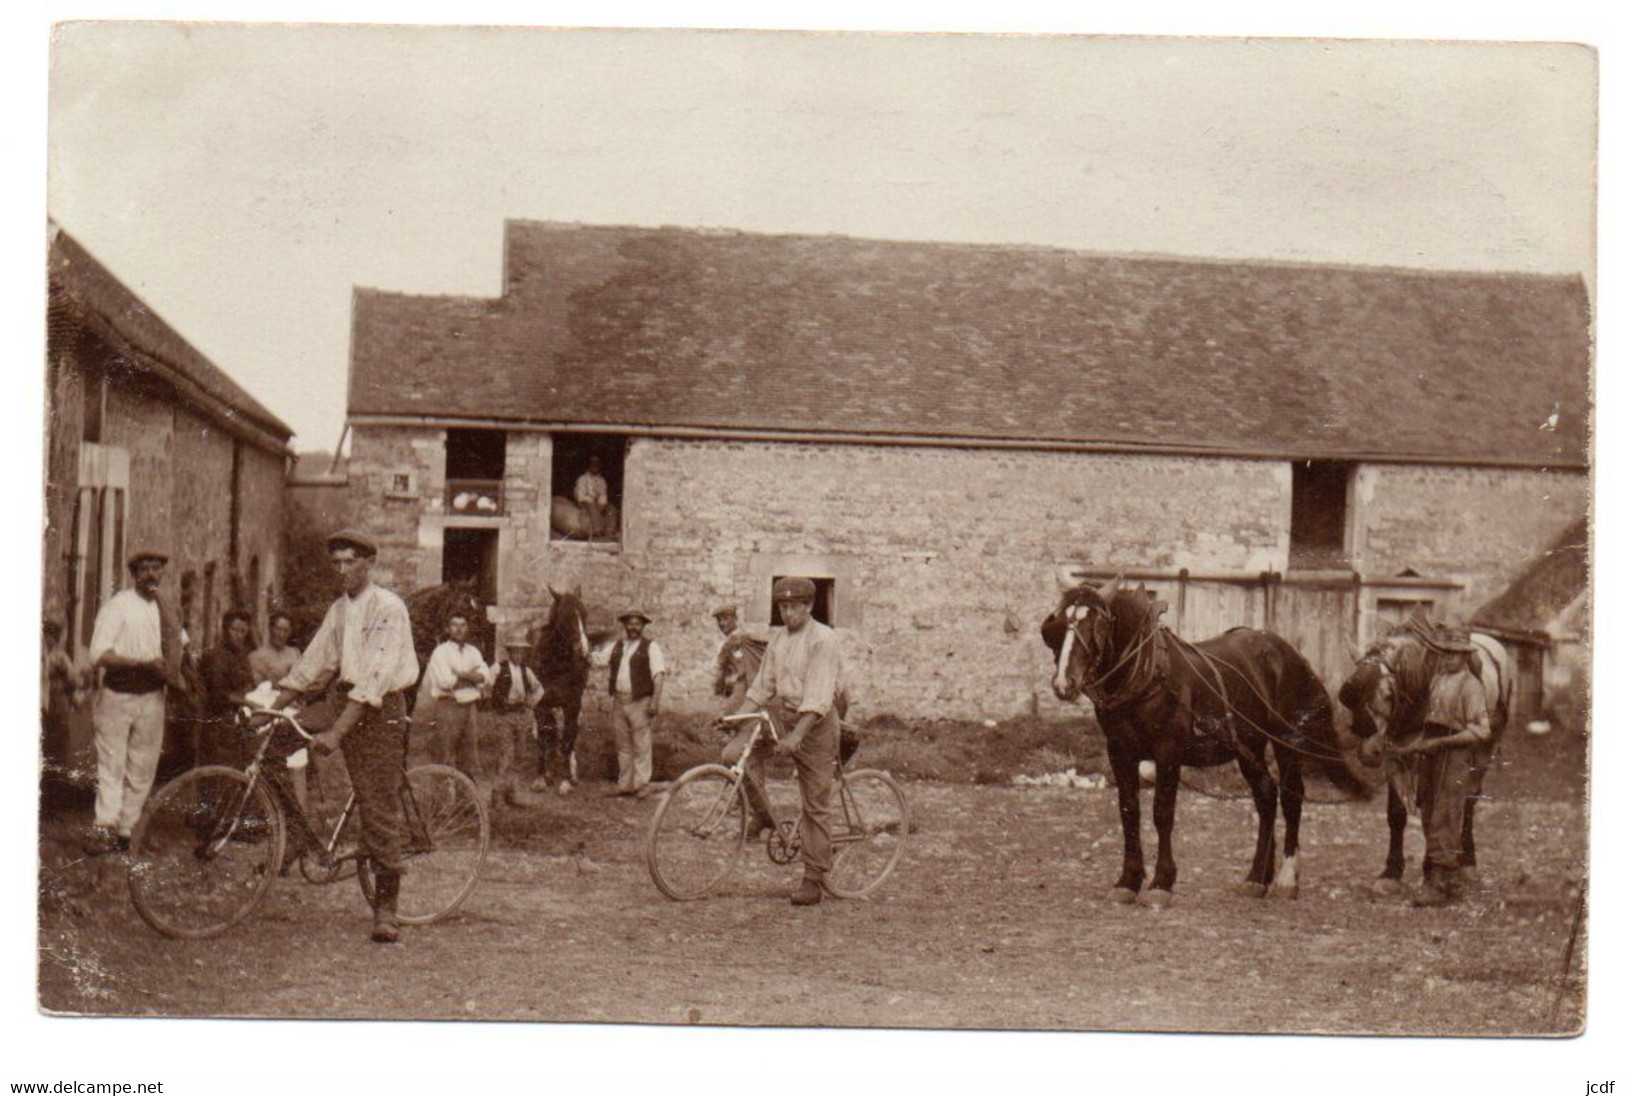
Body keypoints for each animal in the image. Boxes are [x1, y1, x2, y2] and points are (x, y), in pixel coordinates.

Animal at [529, 585, 594, 790]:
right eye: (566, 617)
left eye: (585, 614)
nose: (584, 653)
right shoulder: (541, 704)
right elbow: (544, 737)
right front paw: (541, 778)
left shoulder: (572, 704)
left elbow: (567, 739)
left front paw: (565, 781)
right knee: (550, 733)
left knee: (571, 735)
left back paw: (571, 772)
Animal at [1040, 575, 1358, 897]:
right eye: (1058, 624)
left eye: (1096, 625)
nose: (1063, 683)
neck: (1146, 673)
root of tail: (1289, 651)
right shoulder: (1119, 751)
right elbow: (1129, 811)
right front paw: (1128, 880)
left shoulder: (1168, 751)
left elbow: (1162, 812)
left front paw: (1162, 882)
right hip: (1248, 745)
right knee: (1266, 795)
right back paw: (1257, 877)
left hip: (1287, 739)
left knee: (1291, 797)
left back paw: (1286, 878)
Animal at [1332, 614, 1508, 884]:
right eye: (1350, 702)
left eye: (1387, 694)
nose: (1369, 753)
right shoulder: (1396, 754)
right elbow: (1397, 813)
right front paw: (1392, 871)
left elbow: (1433, 808)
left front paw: (1431, 866)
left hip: (1484, 748)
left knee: (1469, 798)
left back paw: (1467, 859)